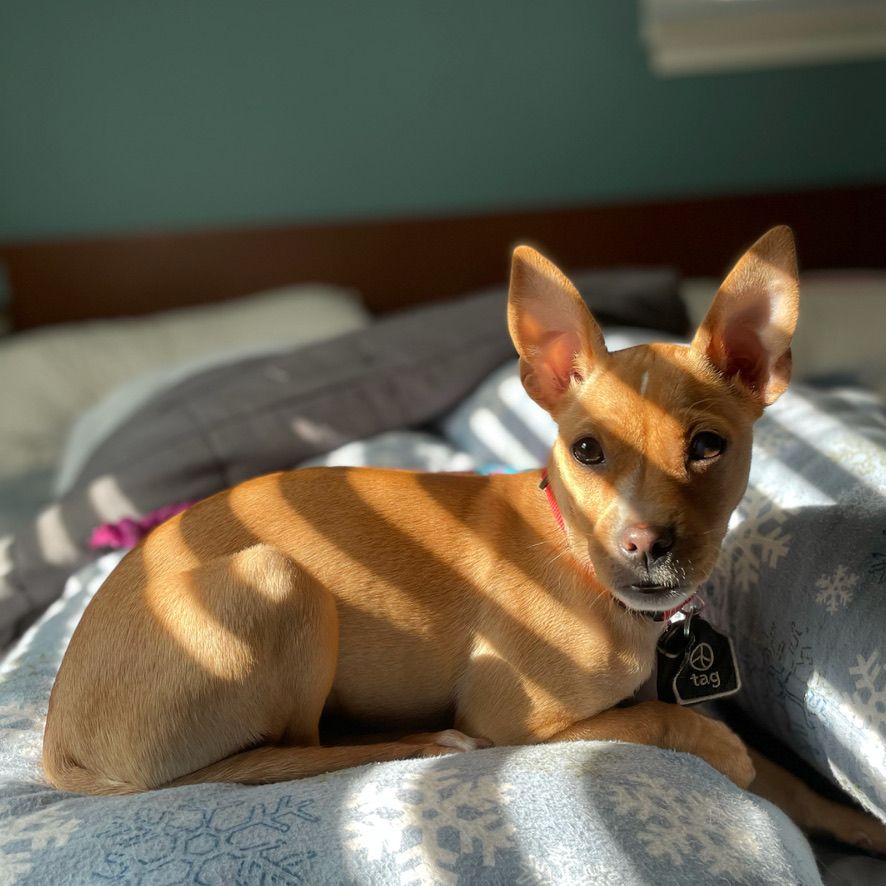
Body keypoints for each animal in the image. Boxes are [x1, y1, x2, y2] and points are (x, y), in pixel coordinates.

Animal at [43, 227, 886, 852]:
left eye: (709, 447)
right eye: (587, 451)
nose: (646, 547)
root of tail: (56, 735)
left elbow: (780, 774)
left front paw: (849, 819)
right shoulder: (520, 721)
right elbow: (664, 722)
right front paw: (725, 749)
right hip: (279, 579)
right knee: (274, 758)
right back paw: (414, 741)